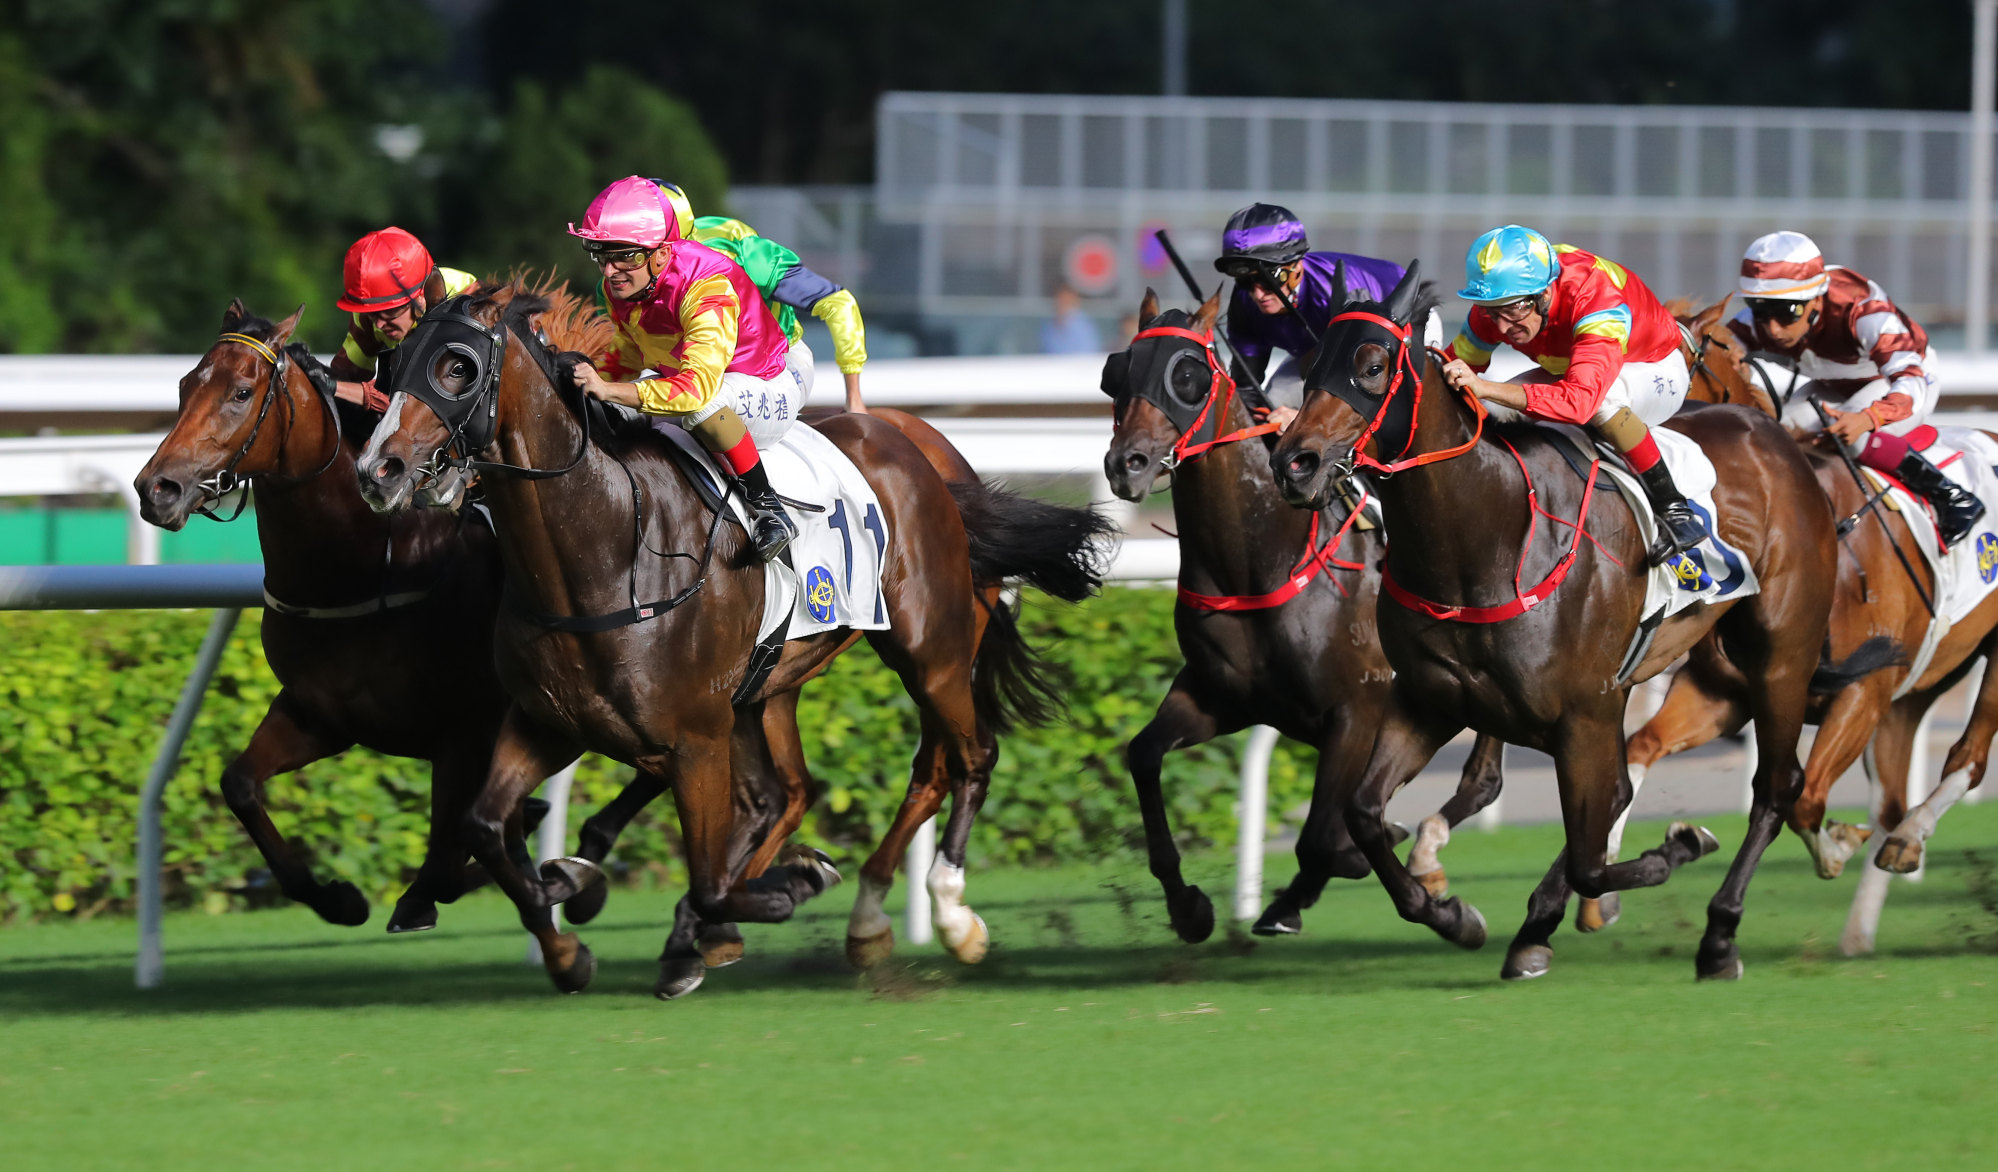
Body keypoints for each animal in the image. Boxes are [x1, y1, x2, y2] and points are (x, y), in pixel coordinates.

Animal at [351, 283, 1102, 998]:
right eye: (391, 363)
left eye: (457, 366)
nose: (378, 470)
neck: (607, 551)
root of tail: (919, 453)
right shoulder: (549, 722)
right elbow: (484, 827)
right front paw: (568, 950)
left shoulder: (696, 736)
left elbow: (712, 878)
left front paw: (782, 888)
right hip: (776, 683)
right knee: (805, 789)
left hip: (932, 650)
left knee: (965, 758)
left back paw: (941, 914)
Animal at [1102, 293, 1502, 946]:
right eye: (1118, 373)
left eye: (1187, 375)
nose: (1126, 464)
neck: (1260, 561)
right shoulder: (1221, 698)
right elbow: (1143, 755)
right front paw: (1189, 908)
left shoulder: (1359, 708)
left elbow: (1322, 836)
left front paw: (1432, 900)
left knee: (1486, 775)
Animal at [1270, 265, 1846, 982]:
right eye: (1310, 364)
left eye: (1372, 366)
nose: (1293, 463)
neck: (1481, 538)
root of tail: (1773, 436)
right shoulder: (1432, 699)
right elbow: (1364, 814)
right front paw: (1453, 916)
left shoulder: (1583, 712)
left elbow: (1593, 859)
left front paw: (1678, 846)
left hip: (1781, 653)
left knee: (1775, 786)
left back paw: (1718, 935)